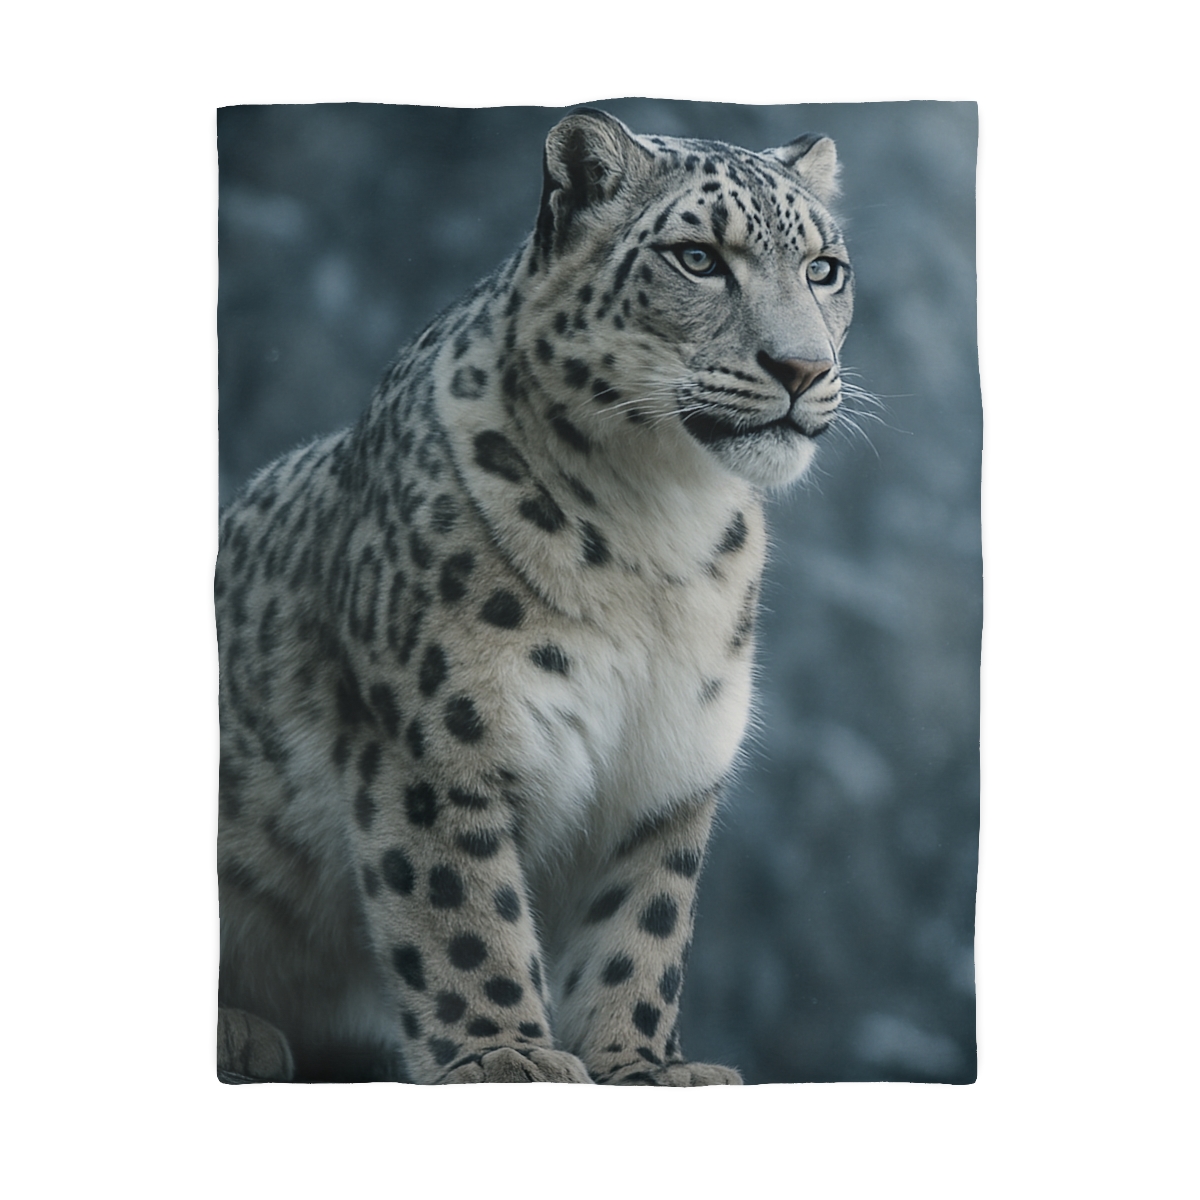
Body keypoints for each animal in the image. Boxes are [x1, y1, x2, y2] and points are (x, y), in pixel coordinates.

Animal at [216, 108, 854, 1084]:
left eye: (825, 269)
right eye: (698, 258)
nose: (803, 368)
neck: (662, 535)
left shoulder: (668, 772)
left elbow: (643, 927)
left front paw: (646, 1065)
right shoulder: (438, 747)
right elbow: (461, 907)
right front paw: (504, 1054)